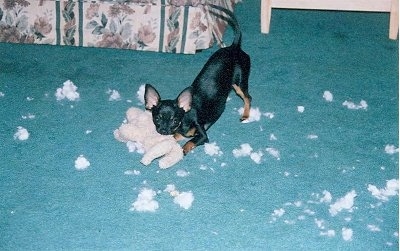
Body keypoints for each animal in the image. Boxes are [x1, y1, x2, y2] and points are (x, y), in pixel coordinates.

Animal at [144, 4, 250, 155]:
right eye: (156, 119)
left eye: (175, 120)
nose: (163, 130)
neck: (184, 119)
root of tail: (234, 47)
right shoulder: (180, 133)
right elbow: (177, 137)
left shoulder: (203, 136)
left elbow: (189, 143)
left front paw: (180, 152)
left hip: (239, 83)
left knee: (248, 97)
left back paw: (245, 114)